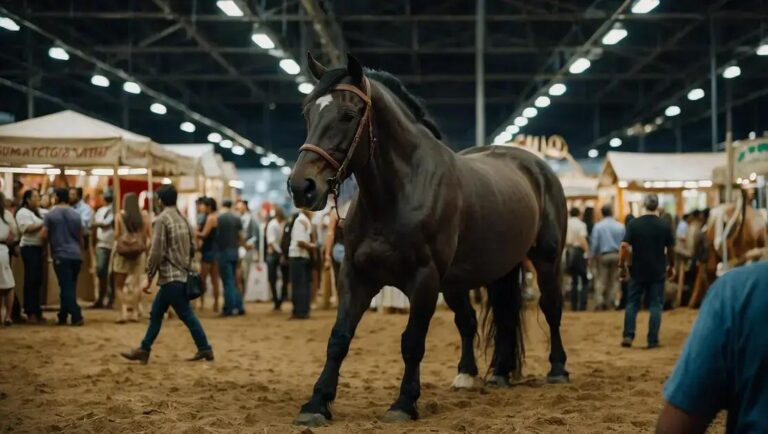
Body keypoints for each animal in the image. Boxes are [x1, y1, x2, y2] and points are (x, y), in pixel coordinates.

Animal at [288, 53, 569, 426]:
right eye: (307, 114)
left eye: (347, 115)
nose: (301, 186)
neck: (398, 193)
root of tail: (537, 168)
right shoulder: (356, 277)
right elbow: (339, 338)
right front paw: (317, 403)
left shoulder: (424, 280)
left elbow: (412, 342)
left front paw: (404, 403)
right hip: (479, 274)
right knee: (486, 318)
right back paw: (487, 374)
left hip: (546, 260)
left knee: (551, 309)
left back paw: (558, 369)